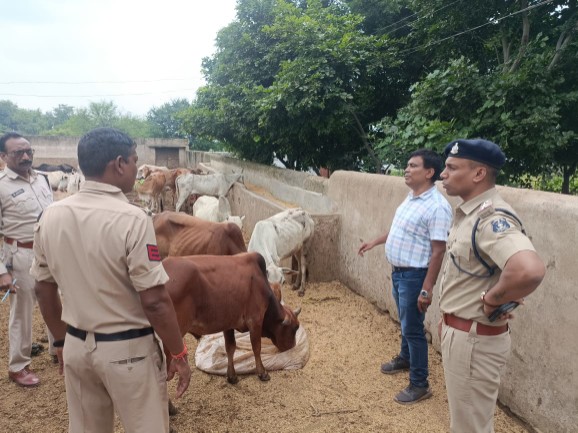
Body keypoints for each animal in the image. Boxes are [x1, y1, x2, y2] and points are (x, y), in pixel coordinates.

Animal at [161, 251, 300, 384]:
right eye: (294, 328)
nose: (293, 345)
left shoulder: (228, 325)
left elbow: (230, 348)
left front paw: (232, 376)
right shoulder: (255, 321)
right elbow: (256, 348)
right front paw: (262, 373)